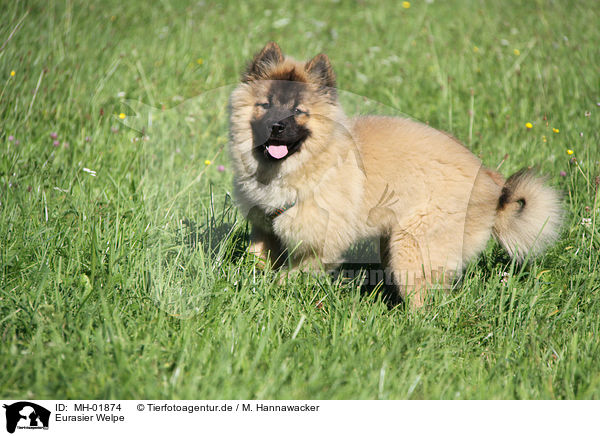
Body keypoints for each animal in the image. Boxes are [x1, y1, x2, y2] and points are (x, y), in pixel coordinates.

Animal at [229, 41, 564, 306]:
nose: (276, 127)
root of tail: (492, 185)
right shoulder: (264, 229)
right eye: (266, 105)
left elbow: (295, 272)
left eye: (298, 111)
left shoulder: (319, 241)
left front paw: (277, 289)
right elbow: (258, 258)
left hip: (412, 245)